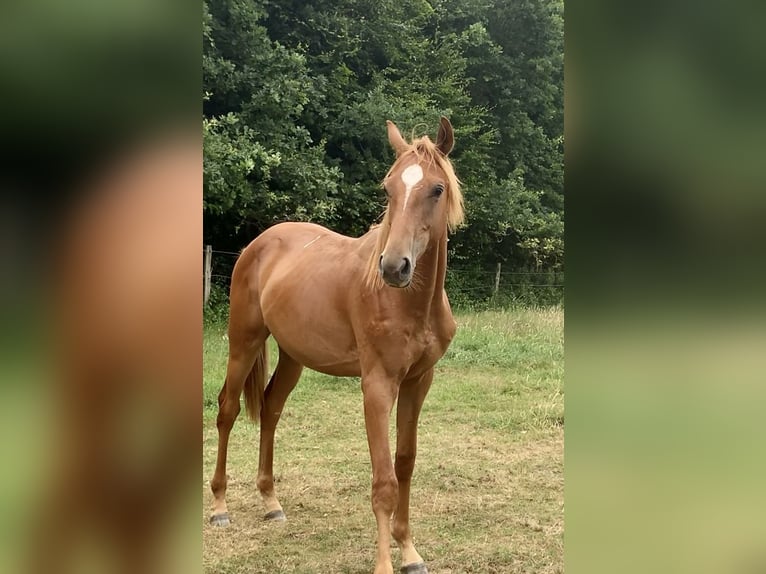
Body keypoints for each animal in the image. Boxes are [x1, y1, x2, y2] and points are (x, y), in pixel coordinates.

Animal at [209, 117, 464, 574]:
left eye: (436, 189)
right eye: (388, 188)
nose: (394, 267)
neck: (409, 302)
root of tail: (257, 244)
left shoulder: (419, 381)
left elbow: (405, 463)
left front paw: (410, 551)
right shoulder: (377, 385)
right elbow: (384, 479)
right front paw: (384, 564)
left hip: (293, 356)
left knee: (271, 409)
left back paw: (271, 501)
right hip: (244, 342)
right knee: (228, 410)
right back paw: (220, 506)